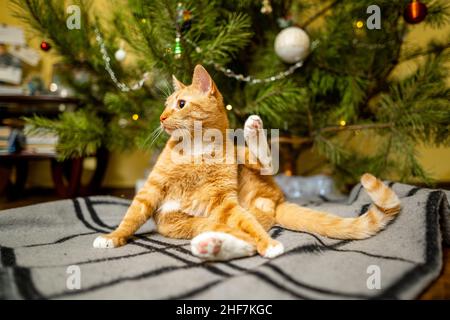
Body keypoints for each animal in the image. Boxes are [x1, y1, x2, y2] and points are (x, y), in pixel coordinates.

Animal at [93, 64, 402, 260]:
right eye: (165, 106)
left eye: (180, 104)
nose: (161, 118)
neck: (196, 151)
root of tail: (276, 202)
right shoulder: (152, 190)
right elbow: (131, 216)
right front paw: (113, 236)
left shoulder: (225, 201)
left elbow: (252, 229)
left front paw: (270, 245)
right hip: (194, 224)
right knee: (238, 236)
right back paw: (212, 247)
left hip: (242, 174)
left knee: (263, 171)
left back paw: (254, 130)